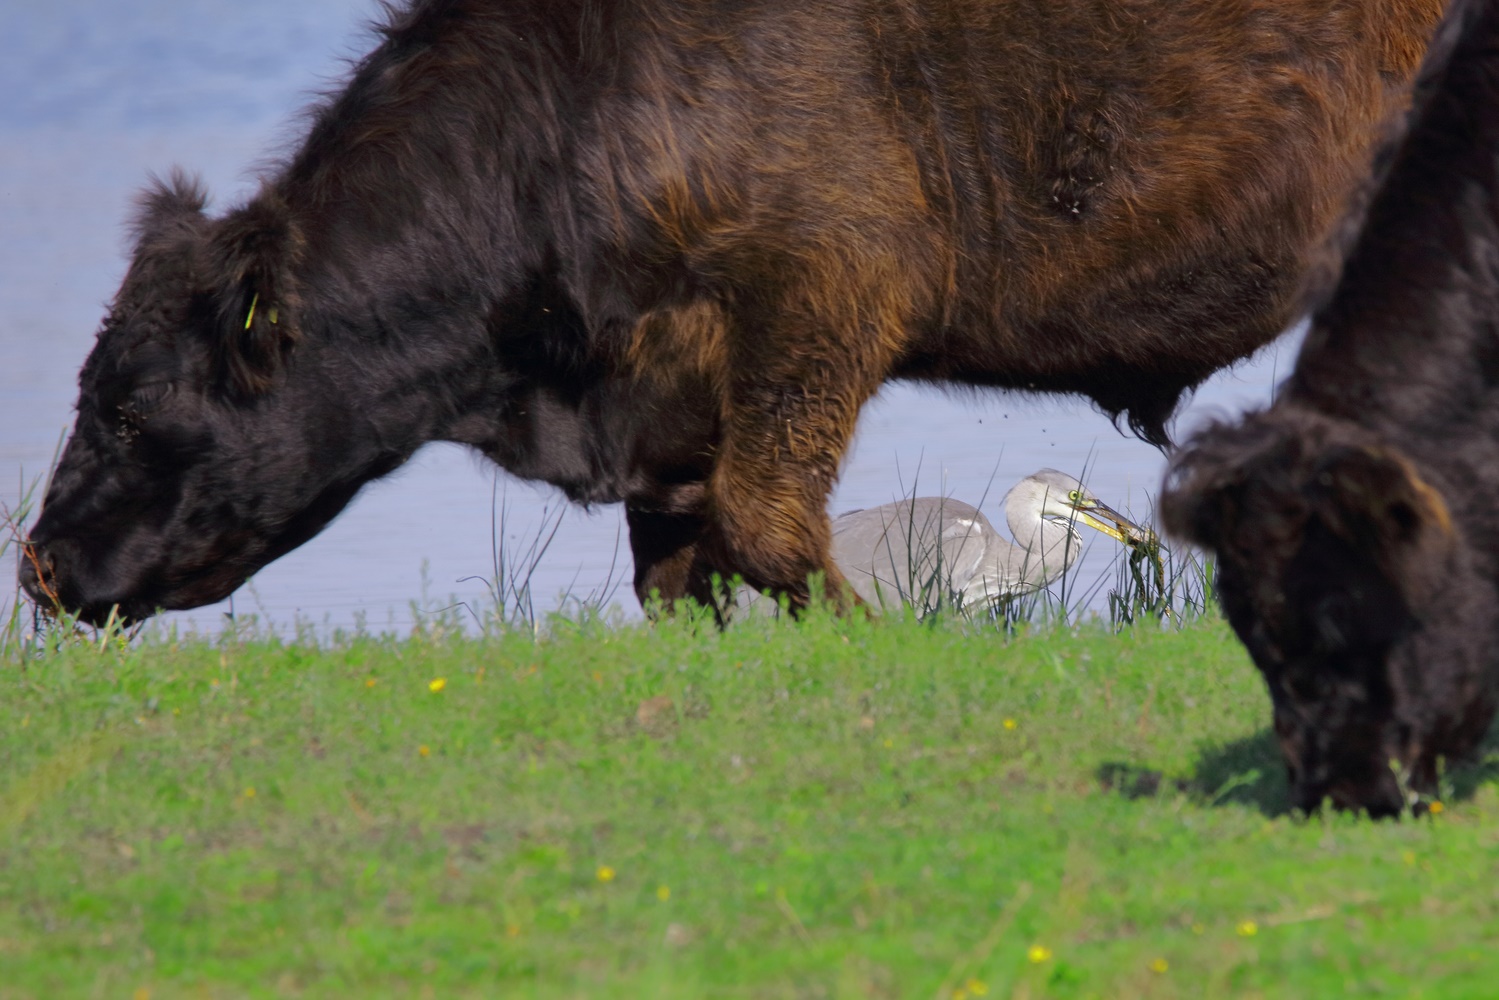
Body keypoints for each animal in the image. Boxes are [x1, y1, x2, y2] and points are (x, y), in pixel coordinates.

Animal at [23, 0, 1445, 626]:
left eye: (128, 404)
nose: (36, 565)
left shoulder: (811, 315)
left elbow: (766, 527)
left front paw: (868, 641)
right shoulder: (676, 402)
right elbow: (674, 570)